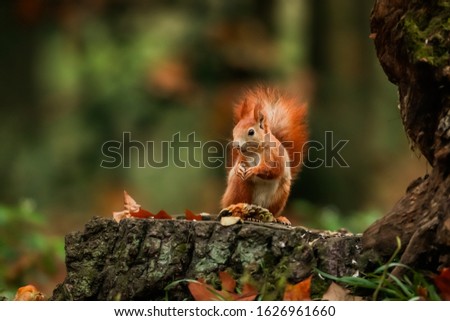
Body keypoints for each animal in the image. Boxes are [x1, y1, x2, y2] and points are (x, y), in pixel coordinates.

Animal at [221, 86, 308, 224]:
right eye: (235, 129)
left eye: (251, 132)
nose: (236, 145)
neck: (255, 152)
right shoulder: (242, 157)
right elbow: (239, 164)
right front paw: (239, 168)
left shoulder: (275, 156)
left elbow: (272, 170)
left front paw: (254, 170)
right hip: (239, 188)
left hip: (280, 196)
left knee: (272, 212)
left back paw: (278, 218)